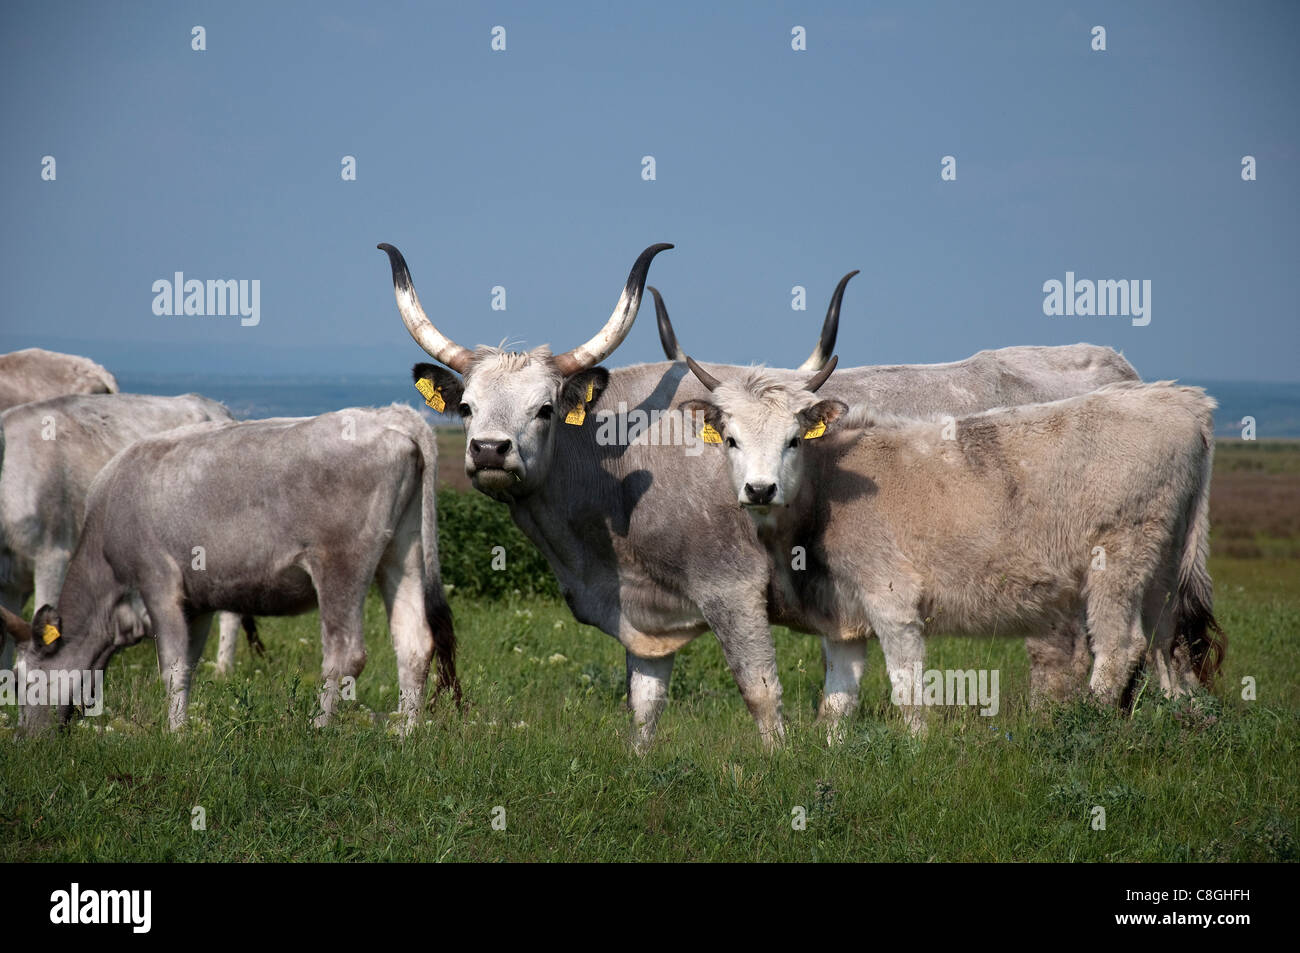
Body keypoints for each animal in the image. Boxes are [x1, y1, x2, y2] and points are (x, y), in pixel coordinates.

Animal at [377, 241, 1138, 748]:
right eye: (467, 406)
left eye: (542, 408)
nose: (488, 451)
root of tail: (1112, 365)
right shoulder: (646, 613)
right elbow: (645, 704)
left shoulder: (730, 589)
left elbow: (761, 692)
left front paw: (773, 766)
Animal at [676, 356, 1222, 728]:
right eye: (731, 440)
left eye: (793, 440)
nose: (760, 489)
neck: (828, 483)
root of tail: (1181, 399)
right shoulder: (842, 620)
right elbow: (836, 707)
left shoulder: (893, 602)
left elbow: (909, 694)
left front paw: (916, 755)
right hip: (1163, 567)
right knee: (1168, 646)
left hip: (1118, 562)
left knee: (1120, 646)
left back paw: (1083, 728)